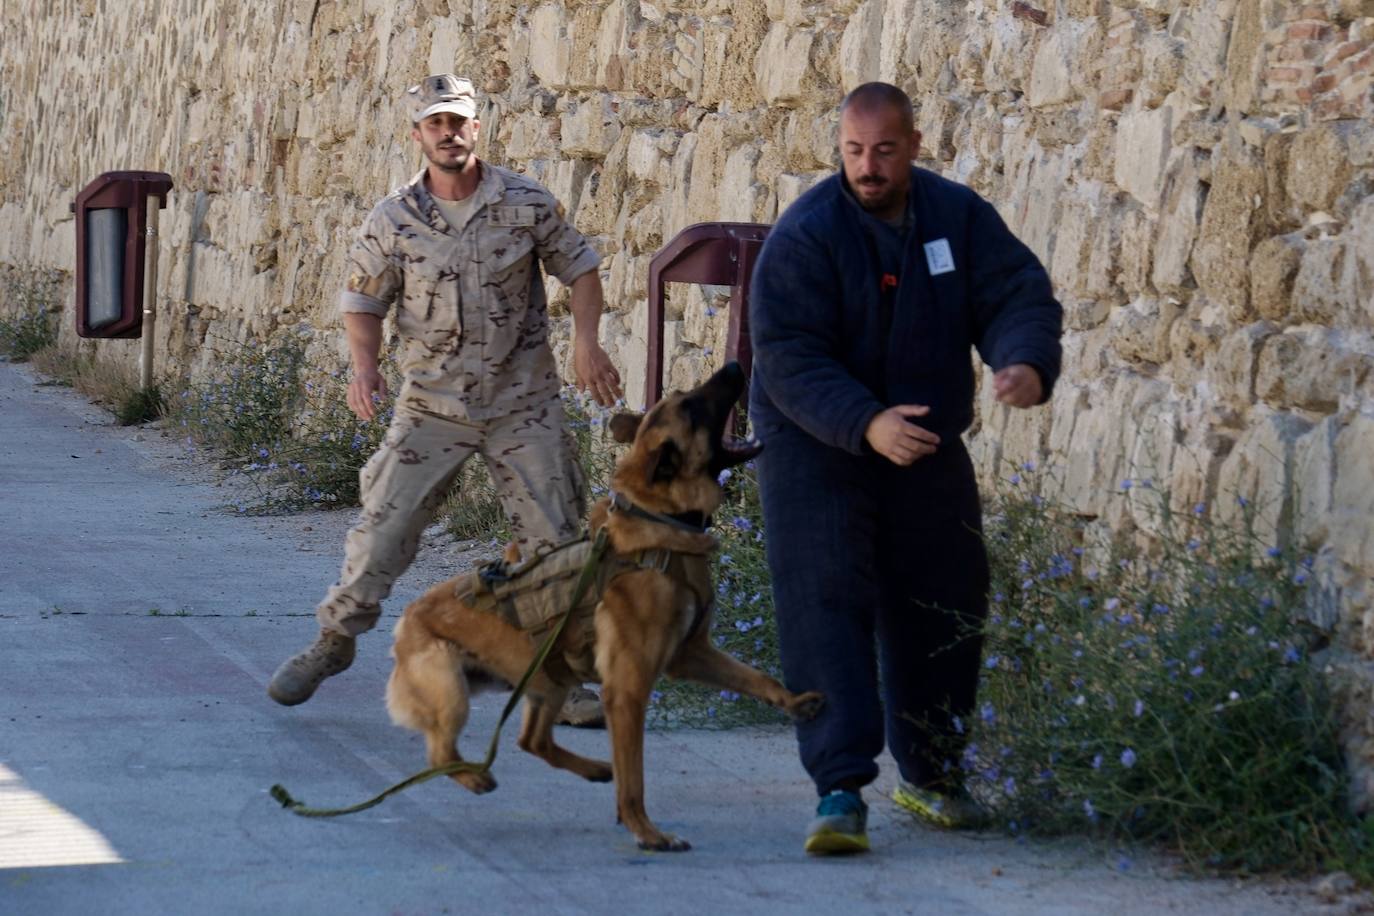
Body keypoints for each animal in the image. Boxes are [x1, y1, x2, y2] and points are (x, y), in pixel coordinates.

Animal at [387, 362, 818, 851]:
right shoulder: (627, 691)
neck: (659, 523)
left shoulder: (691, 653)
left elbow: (756, 677)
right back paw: (476, 776)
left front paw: (795, 702)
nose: (733, 366)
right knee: (441, 750)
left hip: (551, 679)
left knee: (532, 741)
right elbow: (635, 780)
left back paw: (593, 769)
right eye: (691, 406)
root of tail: (407, 619)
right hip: (456, 691)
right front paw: (646, 831)